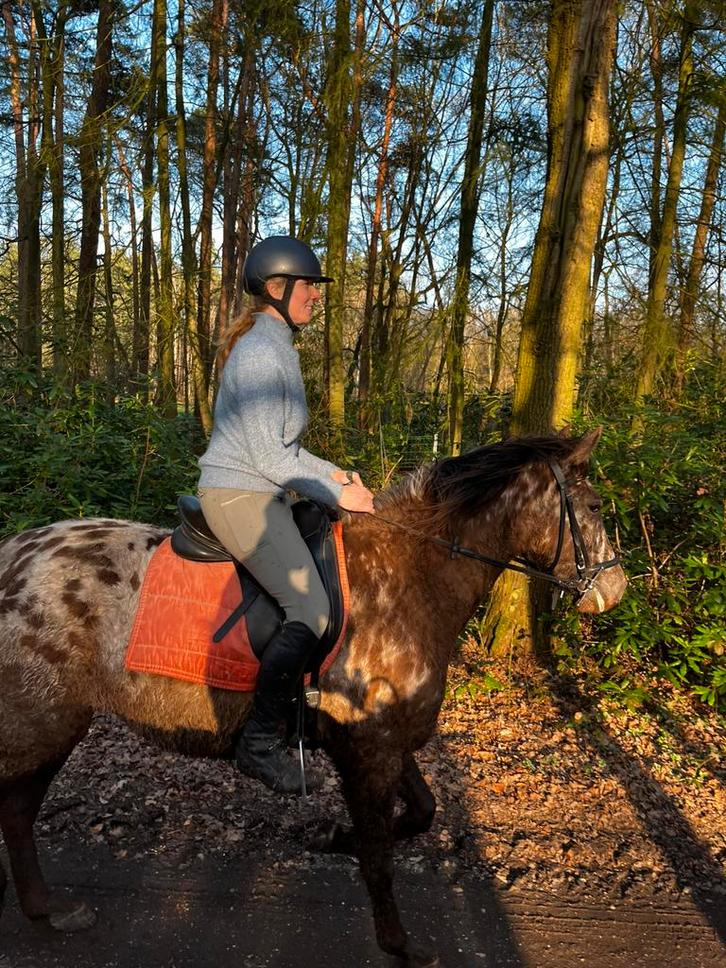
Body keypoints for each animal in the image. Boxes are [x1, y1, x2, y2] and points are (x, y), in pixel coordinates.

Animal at [0, 429, 626, 966]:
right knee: (17, 811)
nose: (615, 590)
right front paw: (400, 943)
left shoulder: (385, 740)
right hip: (43, 724)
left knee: (18, 813)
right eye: (596, 507)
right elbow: (379, 856)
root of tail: (13, 555)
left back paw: (47, 909)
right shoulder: (368, 751)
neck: (409, 576)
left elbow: (420, 814)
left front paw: (330, 837)